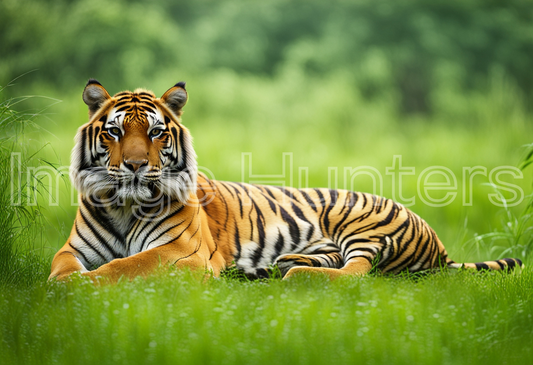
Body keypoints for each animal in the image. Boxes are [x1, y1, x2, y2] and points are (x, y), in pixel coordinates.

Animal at [47, 79, 520, 282]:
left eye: (156, 133)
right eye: (114, 132)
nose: (134, 165)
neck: (125, 206)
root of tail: (439, 247)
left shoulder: (181, 250)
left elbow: (125, 265)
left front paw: (81, 287)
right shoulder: (73, 248)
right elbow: (62, 264)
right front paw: (63, 283)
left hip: (362, 224)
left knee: (358, 274)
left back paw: (294, 277)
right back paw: (281, 267)